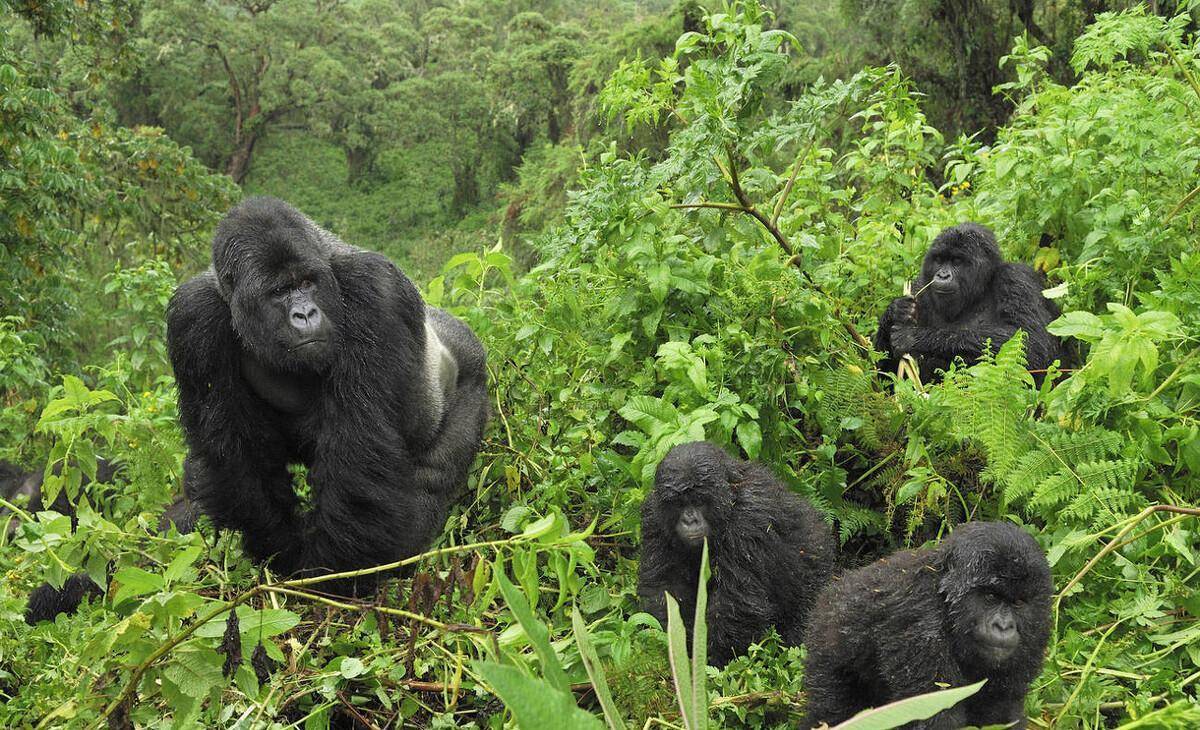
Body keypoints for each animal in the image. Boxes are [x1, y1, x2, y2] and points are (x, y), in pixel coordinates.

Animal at [638, 439, 835, 667]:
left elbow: (736, 603)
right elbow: (666, 590)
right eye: (679, 503)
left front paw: (710, 660)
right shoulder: (653, 518)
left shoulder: (748, 520)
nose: (690, 520)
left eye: (698, 501)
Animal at [806, 521, 1051, 725]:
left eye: (1018, 602)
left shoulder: (1035, 633)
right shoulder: (922, 629)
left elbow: (1000, 710)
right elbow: (935, 713)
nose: (1003, 626)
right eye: (991, 597)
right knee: (832, 709)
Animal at [873, 222, 1070, 381]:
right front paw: (896, 310)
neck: (979, 291)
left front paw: (914, 337)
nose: (942, 275)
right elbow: (883, 374)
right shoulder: (919, 286)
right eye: (939, 260)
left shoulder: (1016, 278)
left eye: (957, 261)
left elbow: (1032, 346)